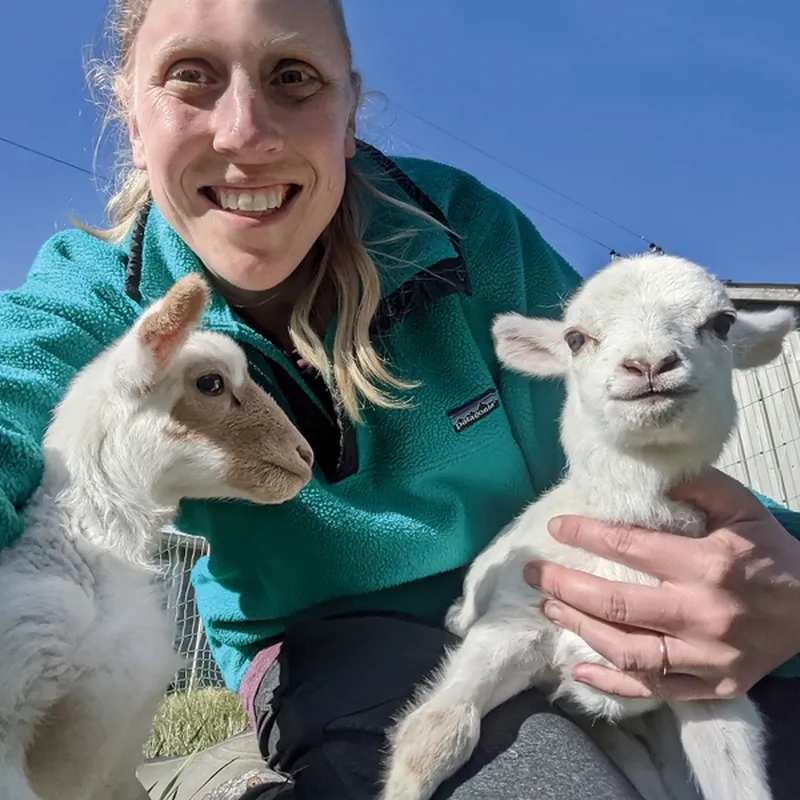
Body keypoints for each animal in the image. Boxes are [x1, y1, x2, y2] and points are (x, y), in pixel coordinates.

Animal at [380, 253, 792, 800]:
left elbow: (737, 781)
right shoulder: (515, 621)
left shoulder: (708, 677)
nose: (649, 364)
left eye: (722, 323)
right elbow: (436, 732)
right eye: (575, 338)